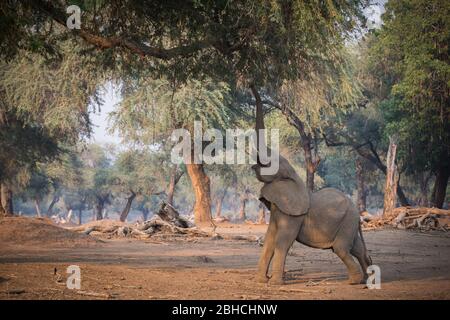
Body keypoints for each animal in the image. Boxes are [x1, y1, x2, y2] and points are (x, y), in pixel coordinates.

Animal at [253, 155, 372, 284]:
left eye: (274, 162)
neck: (293, 177)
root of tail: (357, 212)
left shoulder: (295, 215)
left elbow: (283, 240)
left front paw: (274, 283)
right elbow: (269, 238)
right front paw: (261, 281)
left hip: (348, 221)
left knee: (341, 248)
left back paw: (353, 282)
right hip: (349, 223)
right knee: (357, 248)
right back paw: (366, 280)